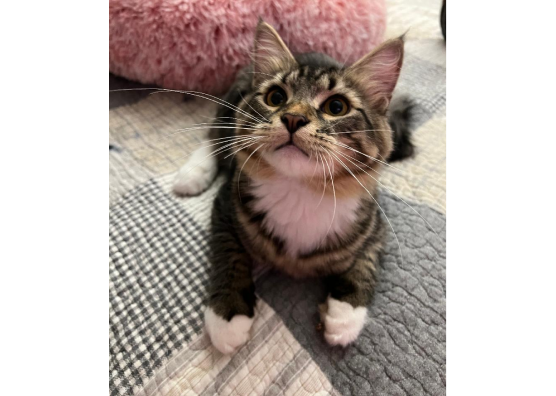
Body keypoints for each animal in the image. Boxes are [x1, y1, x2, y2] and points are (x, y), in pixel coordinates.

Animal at [174, 21, 412, 354]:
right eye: (276, 97)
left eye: (336, 106)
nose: (293, 117)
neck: (302, 190)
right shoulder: (225, 206)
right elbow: (229, 254)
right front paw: (228, 316)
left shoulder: (375, 222)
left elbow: (365, 263)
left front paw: (344, 316)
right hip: (228, 109)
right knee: (213, 139)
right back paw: (192, 174)